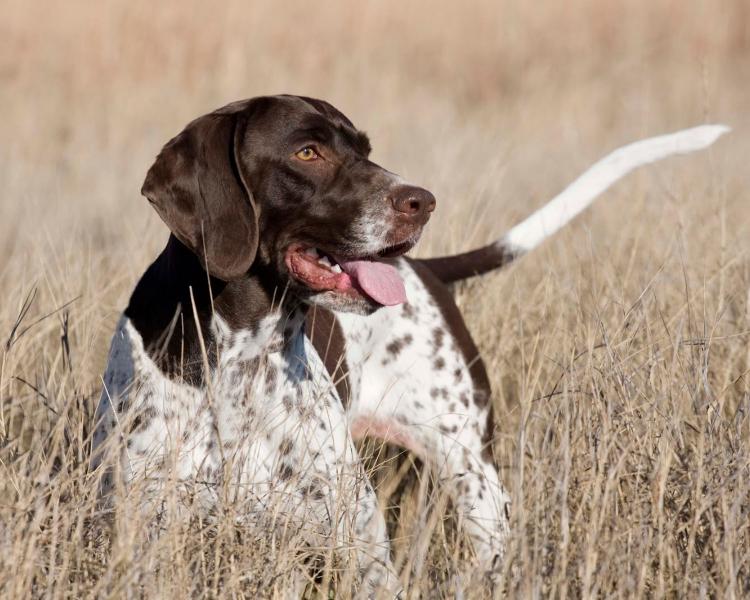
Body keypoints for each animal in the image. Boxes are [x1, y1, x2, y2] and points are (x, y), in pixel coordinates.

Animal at [91, 94, 732, 596]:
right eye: (308, 152)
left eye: (365, 148)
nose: (422, 201)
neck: (241, 364)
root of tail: (424, 268)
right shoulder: (142, 534)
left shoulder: (355, 541)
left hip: (475, 481)